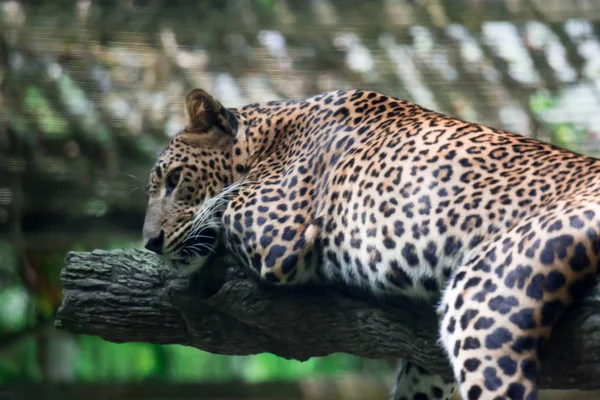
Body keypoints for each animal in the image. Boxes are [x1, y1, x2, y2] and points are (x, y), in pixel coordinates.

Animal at [143, 88, 600, 400]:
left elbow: (226, 211)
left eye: (174, 179)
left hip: (485, 294)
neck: (268, 138)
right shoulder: (426, 369)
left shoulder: (277, 234)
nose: (150, 242)